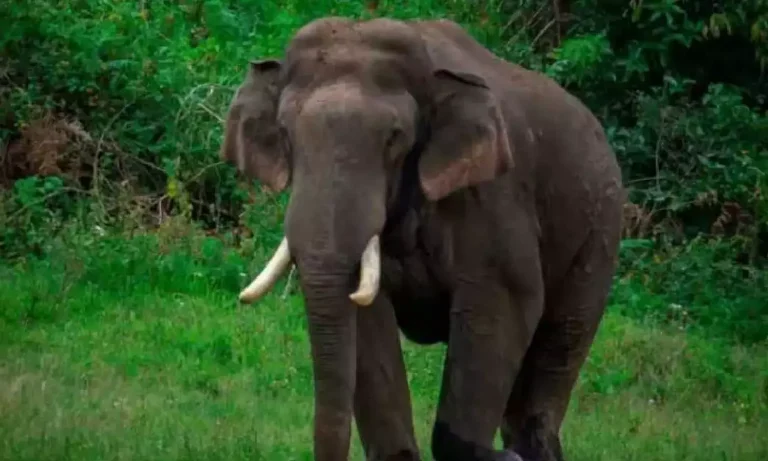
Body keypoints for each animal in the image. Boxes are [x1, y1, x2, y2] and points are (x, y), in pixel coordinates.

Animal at [220, 15, 624, 460]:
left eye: (395, 137)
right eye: (285, 133)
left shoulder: (494, 199)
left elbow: (502, 304)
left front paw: (499, 456)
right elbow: (368, 324)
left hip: (600, 233)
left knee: (554, 355)